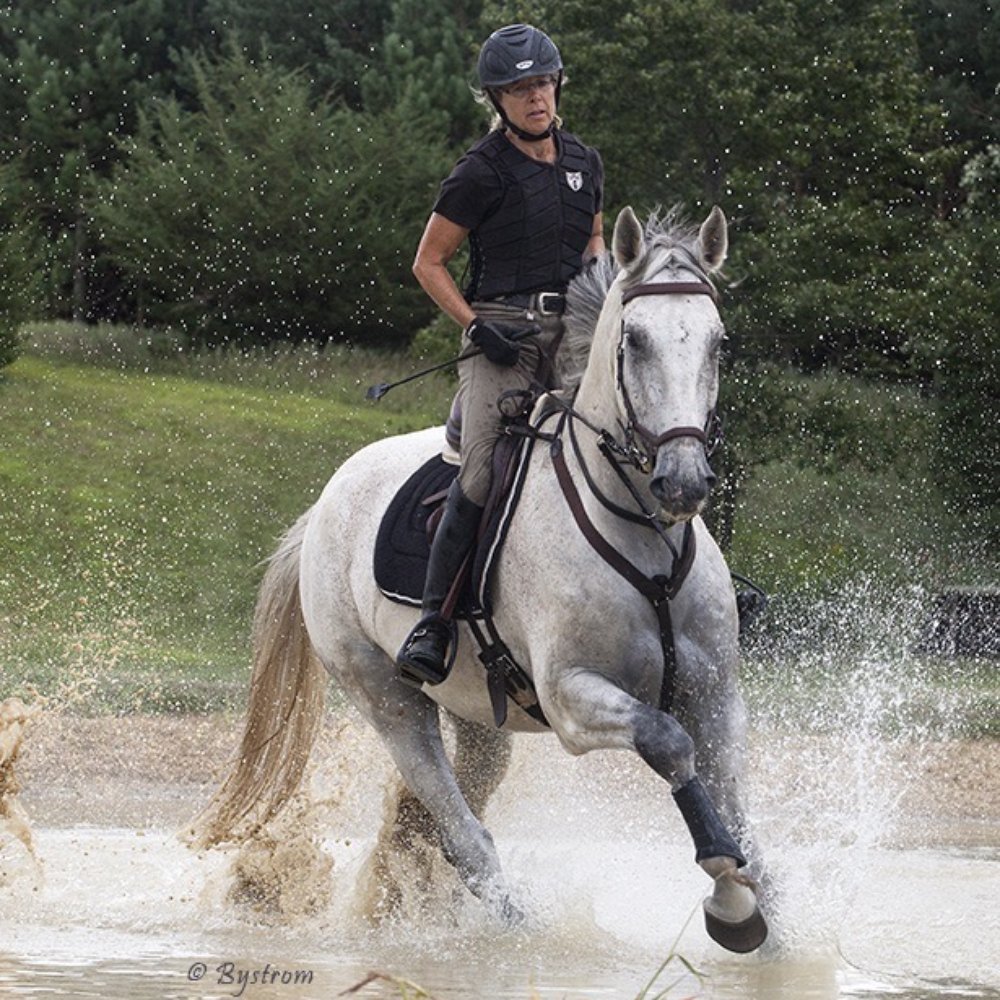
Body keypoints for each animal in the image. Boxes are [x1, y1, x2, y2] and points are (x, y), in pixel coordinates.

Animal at [192, 205, 769, 954]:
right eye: (635, 342)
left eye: (717, 343)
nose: (684, 482)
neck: (641, 533)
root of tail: (324, 506)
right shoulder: (573, 697)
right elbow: (670, 745)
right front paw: (730, 898)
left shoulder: (716, 693)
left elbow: (740, 811)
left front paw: (769, 921)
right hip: (388, 698)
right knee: (462, 834)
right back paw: (515, 929)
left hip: (478, 720)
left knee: (434, 821)